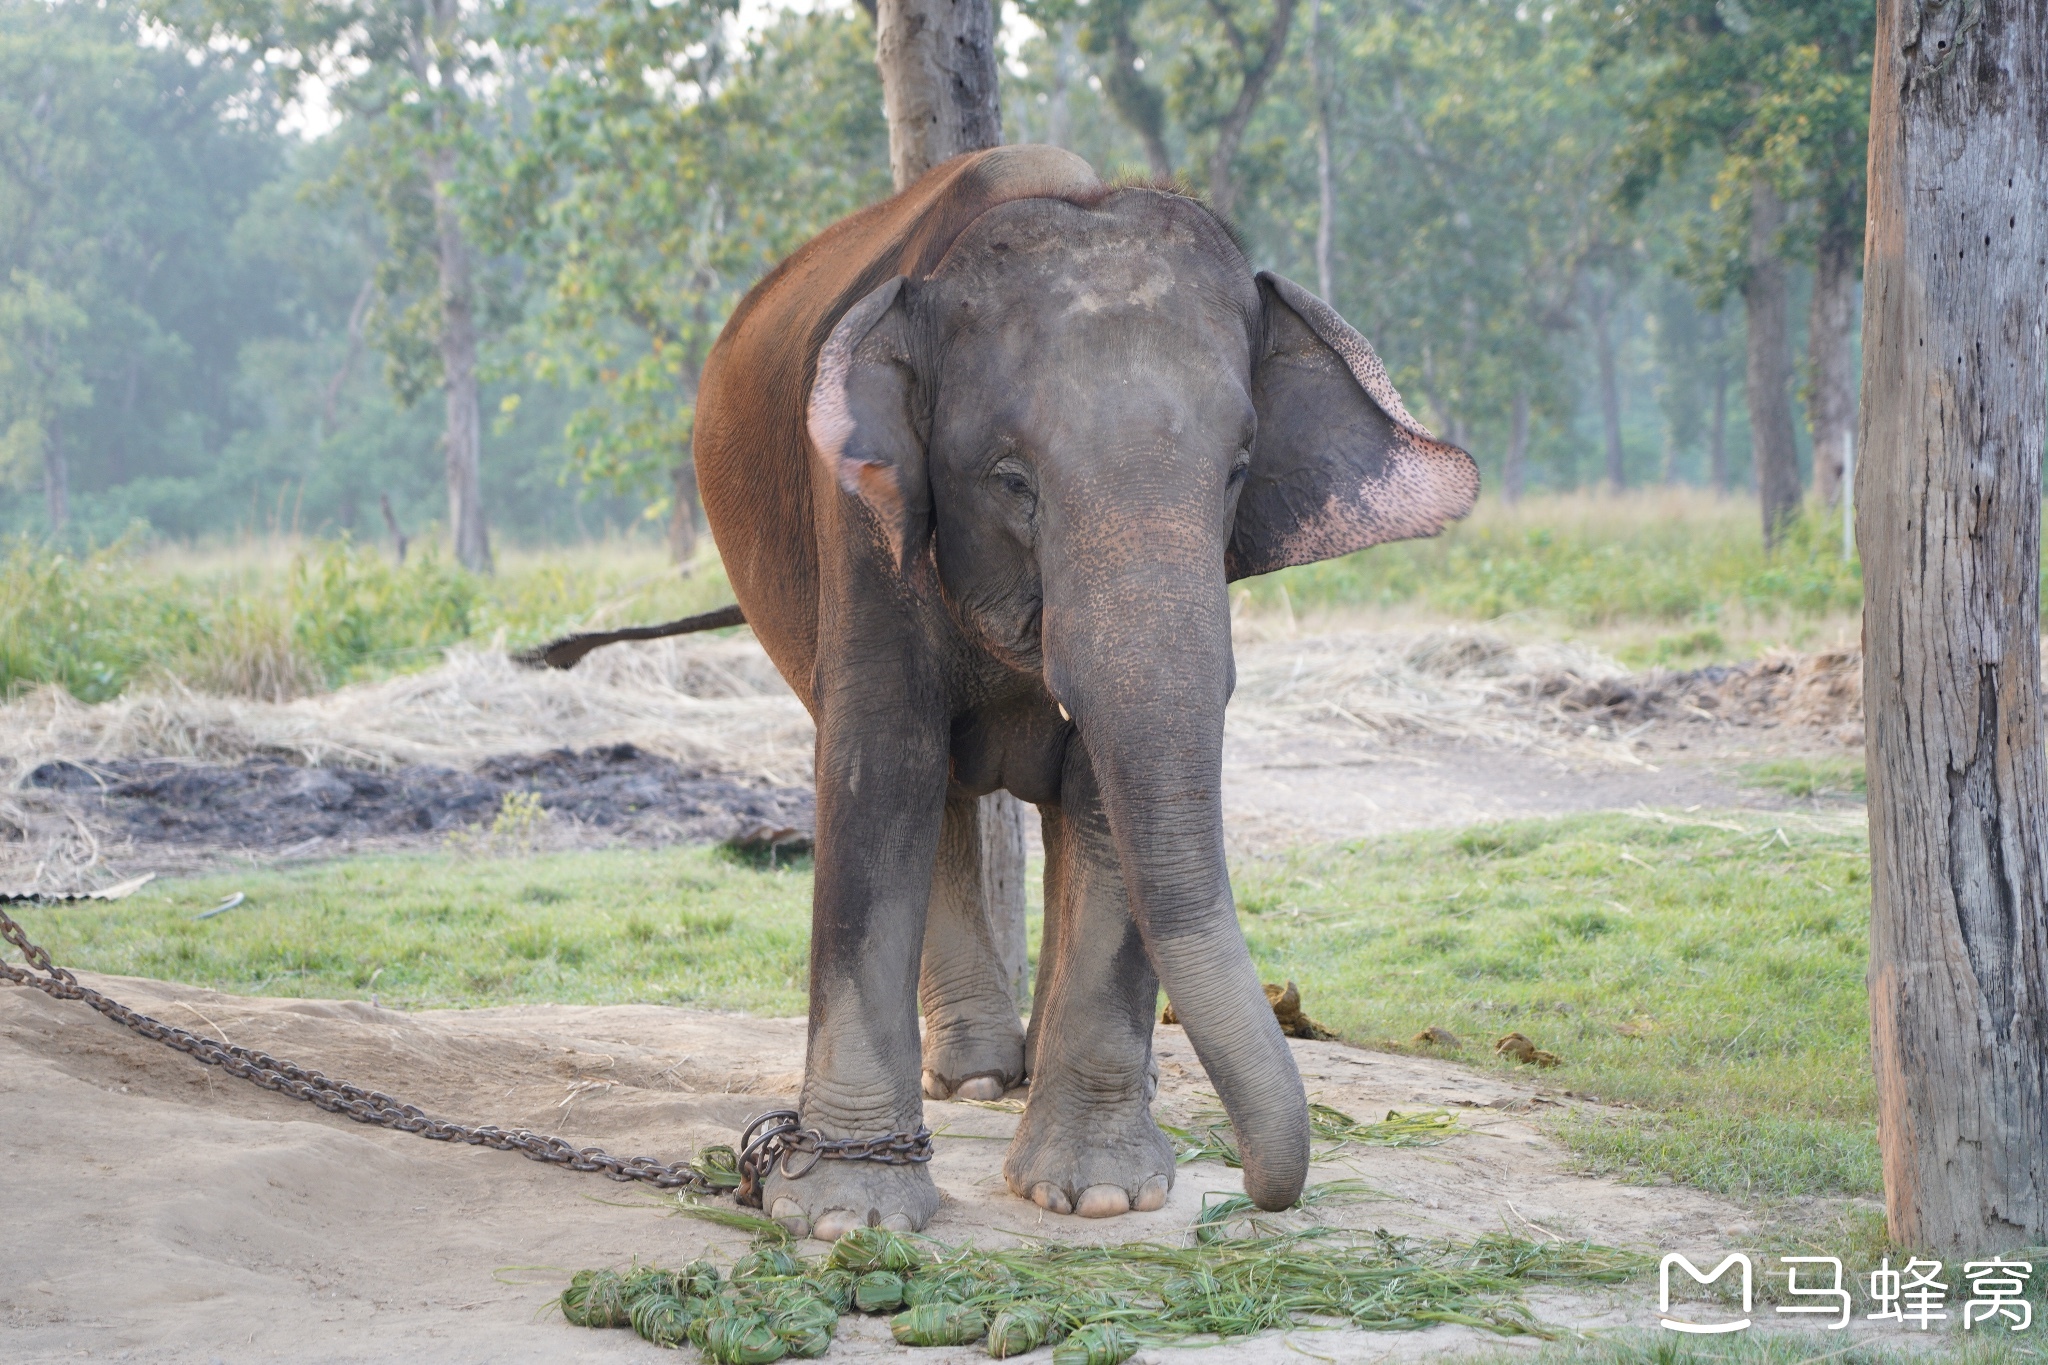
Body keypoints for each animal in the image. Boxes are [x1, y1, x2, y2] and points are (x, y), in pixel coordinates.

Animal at [696, 144, 1482, 1244]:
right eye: (1011, 480)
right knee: (934, 784)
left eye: (1238, 468)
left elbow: (1107, 797)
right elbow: (877, 769)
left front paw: (1099, 1197)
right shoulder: (858, 524)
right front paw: (850, 1217)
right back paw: (976, 1082)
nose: (1263, 1189)